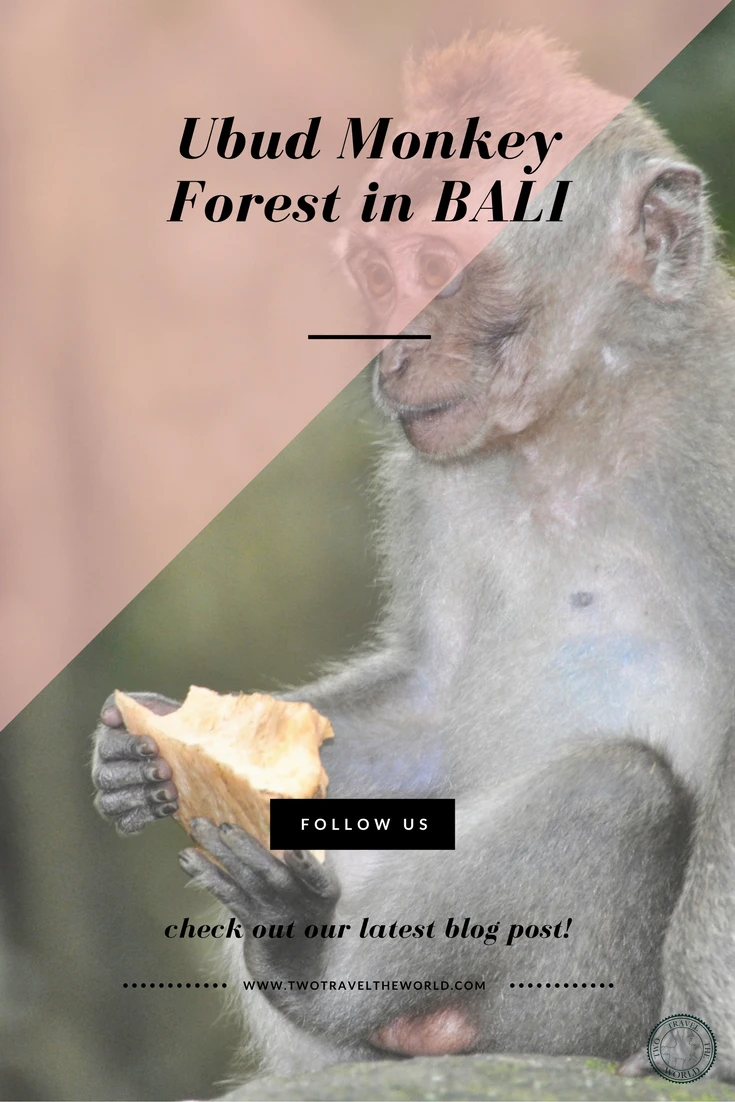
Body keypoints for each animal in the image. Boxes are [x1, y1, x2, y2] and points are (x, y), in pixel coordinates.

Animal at [92, 35, 735, 1085]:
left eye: (438, 263)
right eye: (375, 273)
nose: (387, 353)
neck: (568, 420)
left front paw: (700, 1042)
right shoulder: (426, 479)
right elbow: (432, 698)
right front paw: (139, 748)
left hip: (580, 1004)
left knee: (617, 792)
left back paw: (312, 967)